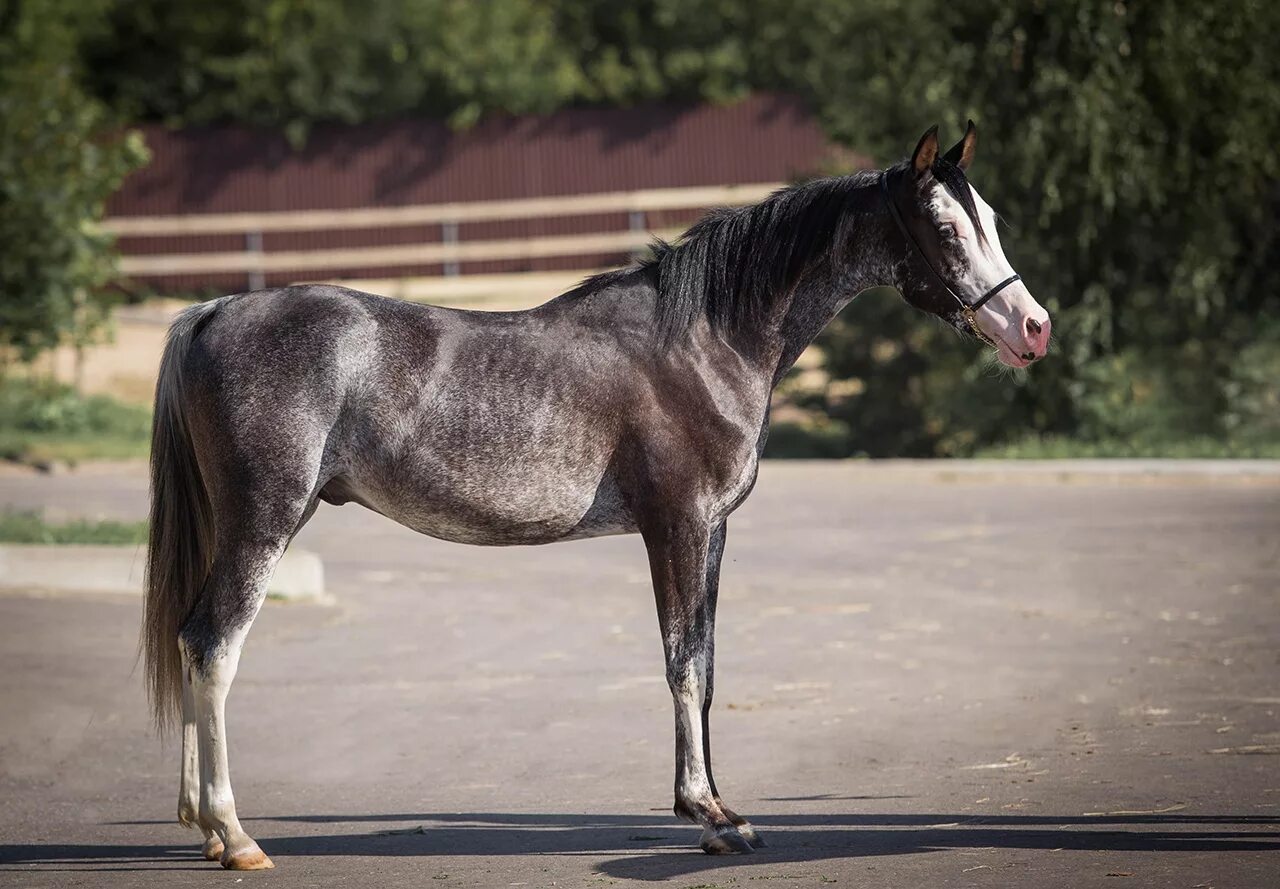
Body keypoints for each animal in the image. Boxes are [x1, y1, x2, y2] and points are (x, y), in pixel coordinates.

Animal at [145, 125, 1054, 869]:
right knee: (215, 646)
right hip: (263, 523)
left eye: (990, 215)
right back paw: (236, 834)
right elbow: (682, 663)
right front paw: (709, 813)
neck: (704, 339)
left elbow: (707, 664)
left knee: (189, 638)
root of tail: (215, 309)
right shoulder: (677, 525)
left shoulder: (713, 533)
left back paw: (202, 827)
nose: (1033, 327)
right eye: (945, 228)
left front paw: (722, 813)